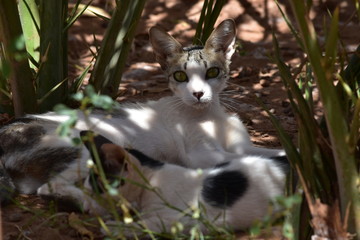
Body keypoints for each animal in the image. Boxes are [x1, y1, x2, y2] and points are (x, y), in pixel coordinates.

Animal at [0, 18, 284, 204]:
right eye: (180, 76)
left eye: (212, 72)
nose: (198, 94)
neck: (210, 117)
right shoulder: (200, 155)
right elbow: (249, 158)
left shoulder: (240, 145)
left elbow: (273, 150)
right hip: (86, 147)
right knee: (52, 186)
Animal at [80, 132, 288, 237]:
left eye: (96, 190)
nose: (86, 210)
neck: (153, 178)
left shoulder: (192, 220)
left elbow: (151, 224)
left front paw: (116, 227)